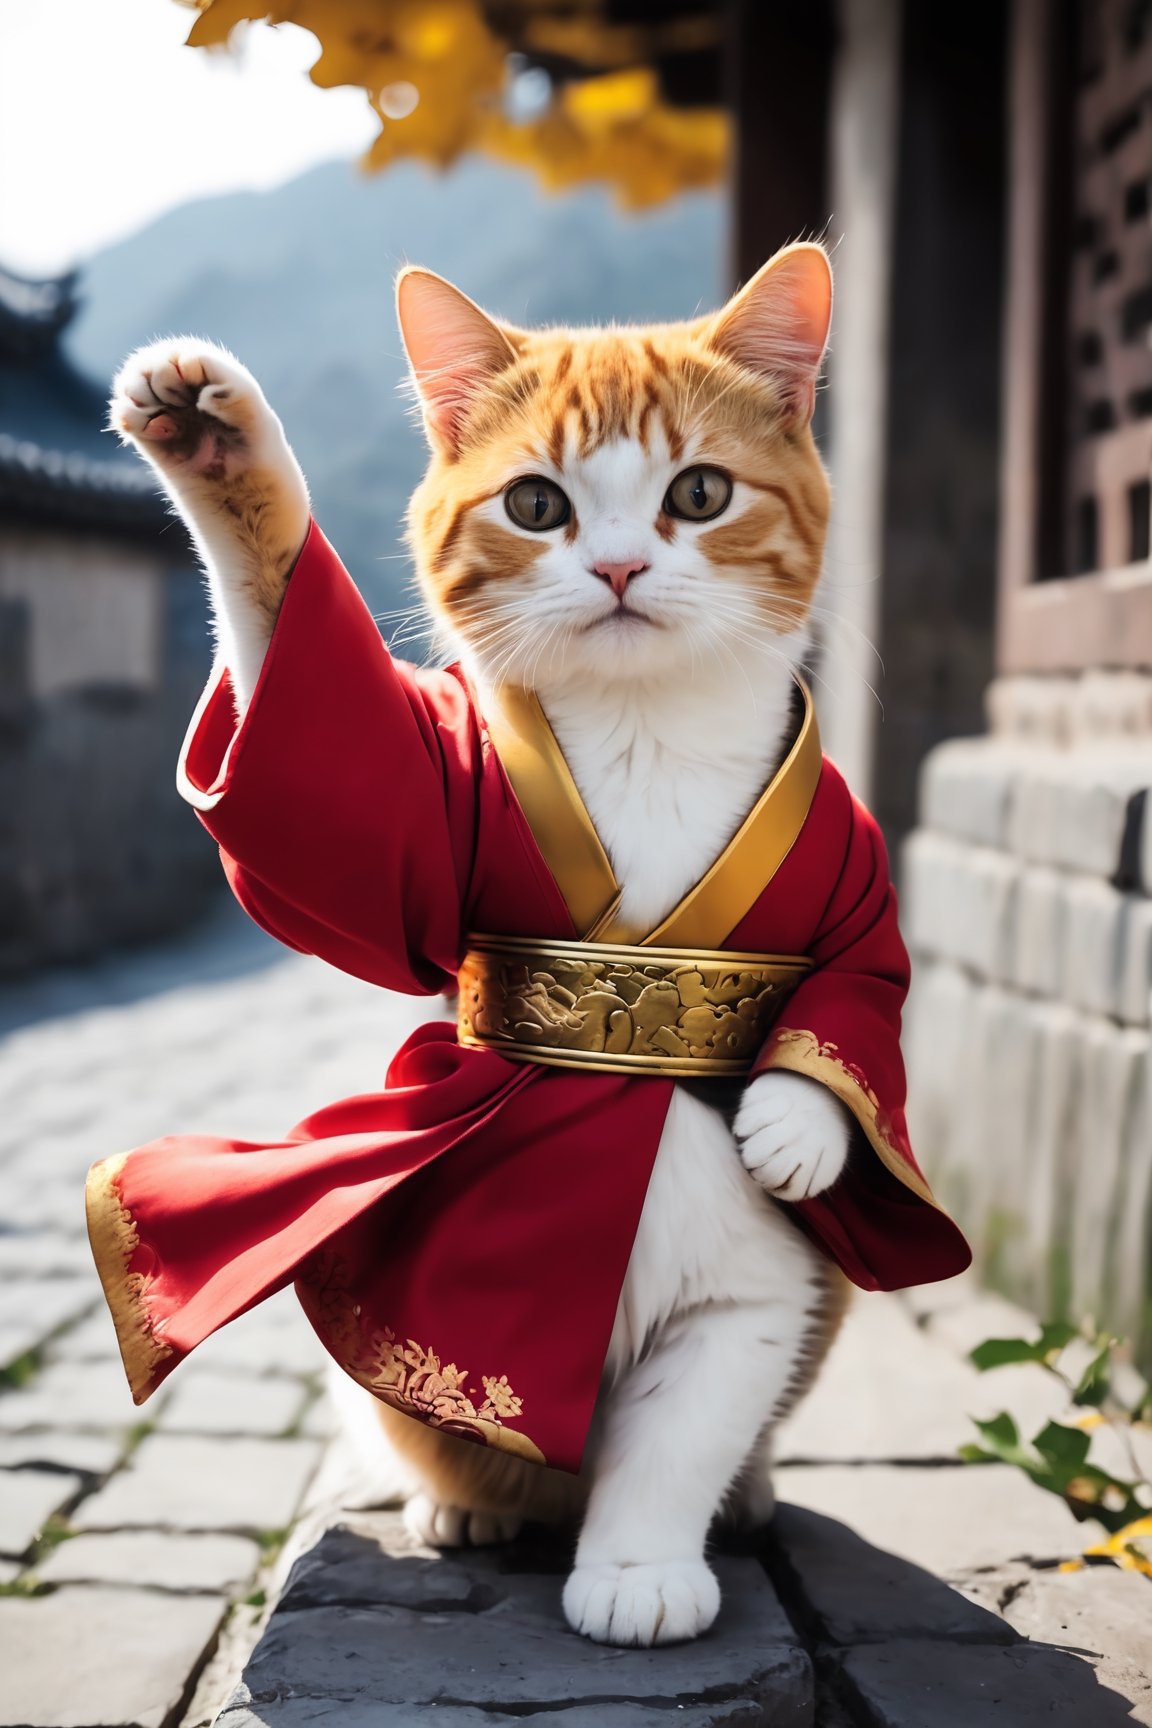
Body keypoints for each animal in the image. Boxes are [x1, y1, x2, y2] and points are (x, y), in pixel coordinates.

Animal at [112, 240, 856, 1645]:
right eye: (535, 504)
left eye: (699, 492)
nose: (618, 569)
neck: (645, 740)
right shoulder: (418, 800)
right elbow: (333, 776)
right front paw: (222, 455)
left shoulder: (754, 1287)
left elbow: (858, 1002)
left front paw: (639, 1570)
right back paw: (462, 1505)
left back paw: (744, 1497)